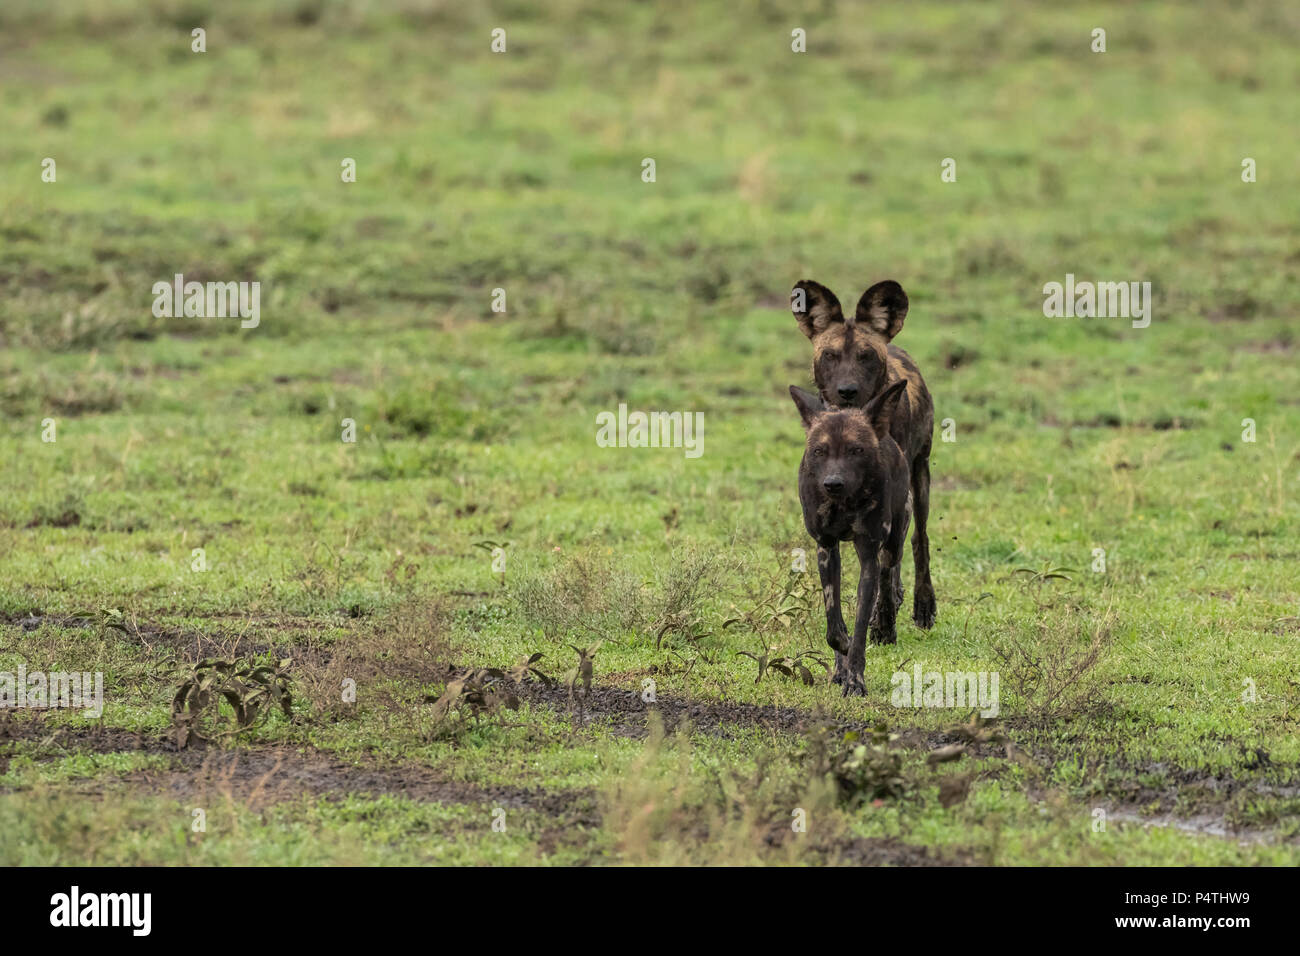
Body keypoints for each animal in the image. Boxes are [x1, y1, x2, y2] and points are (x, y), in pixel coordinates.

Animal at [785, 280, 941, 665]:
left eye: (865, 356)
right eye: (830, 356)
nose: (847, 391)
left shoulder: (894, 507)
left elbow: (886, 566)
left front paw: (882, 626)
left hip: (920, 479)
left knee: (918, 540)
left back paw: (920, 604)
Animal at [785, 377, 909, 697]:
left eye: (856, 450)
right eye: (819, 451)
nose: (833, 483)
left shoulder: (869, 556)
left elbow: (861, 625)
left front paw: (855, 679)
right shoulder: (826, 548)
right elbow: (833, 622)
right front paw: (842, 658)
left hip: (892, 546)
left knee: (889, 580)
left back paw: (886, 626)